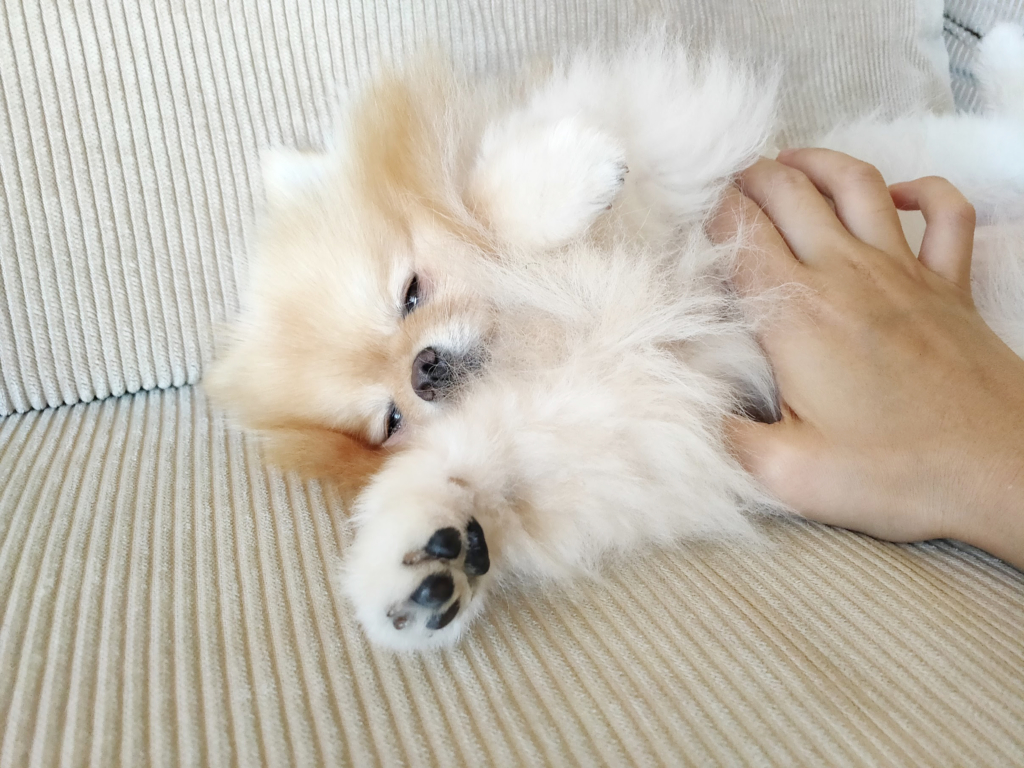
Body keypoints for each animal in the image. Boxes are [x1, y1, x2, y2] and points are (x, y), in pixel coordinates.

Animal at [206, 26, 1024, 650]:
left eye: (411, 292)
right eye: (391, 418)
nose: (424, 367)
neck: (554, 329)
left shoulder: (685, 183)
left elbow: (505, 199)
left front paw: (573, 174)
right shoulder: (628, 420)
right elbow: (484, 465)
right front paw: (423, 560)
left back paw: (1001, 50)